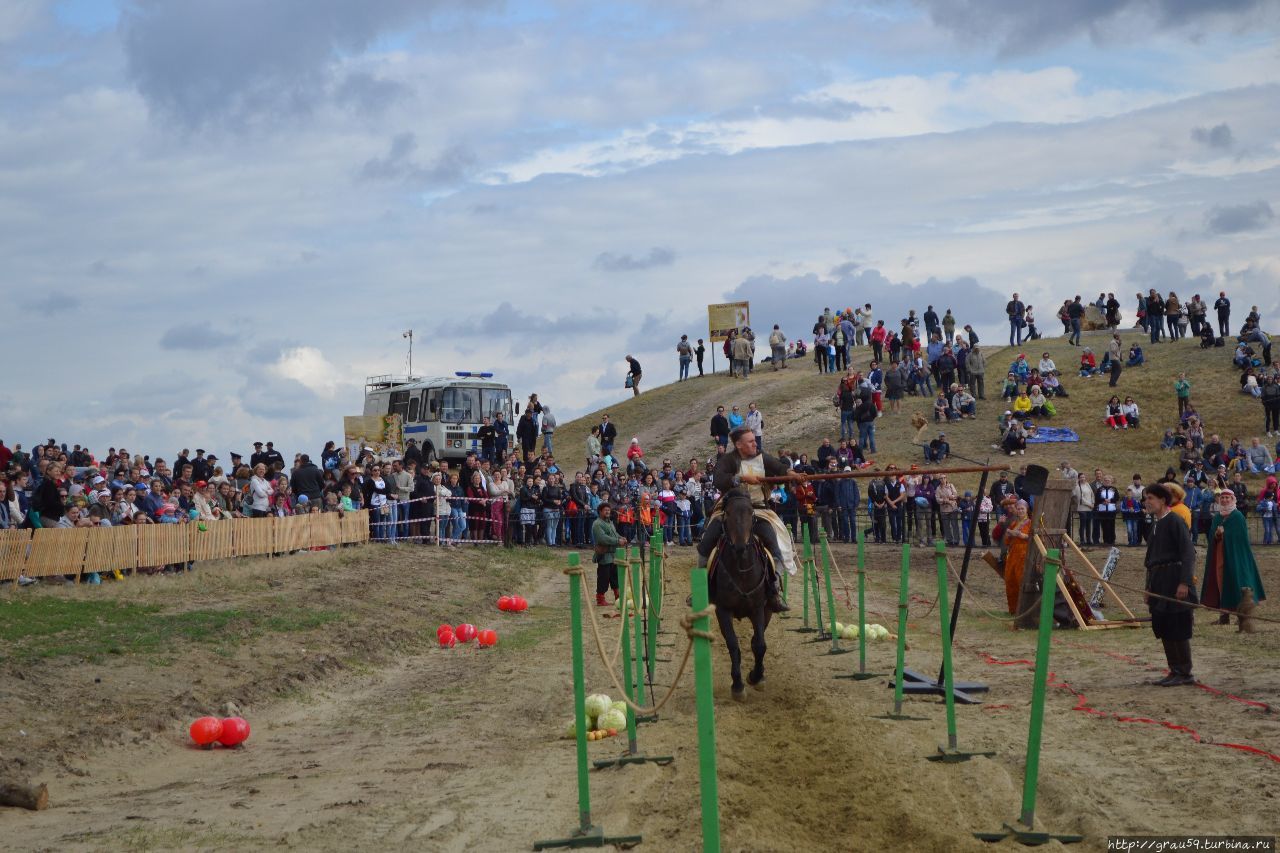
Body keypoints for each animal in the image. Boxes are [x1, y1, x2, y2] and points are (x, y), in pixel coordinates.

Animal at [711, 489, 768, 696]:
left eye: (751, 513)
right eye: (728, 513)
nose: (740, 546)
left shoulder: (759, 609)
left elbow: (759, 645)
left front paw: (756, 676)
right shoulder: (723, 611)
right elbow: (733, 644)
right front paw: (737, 685)